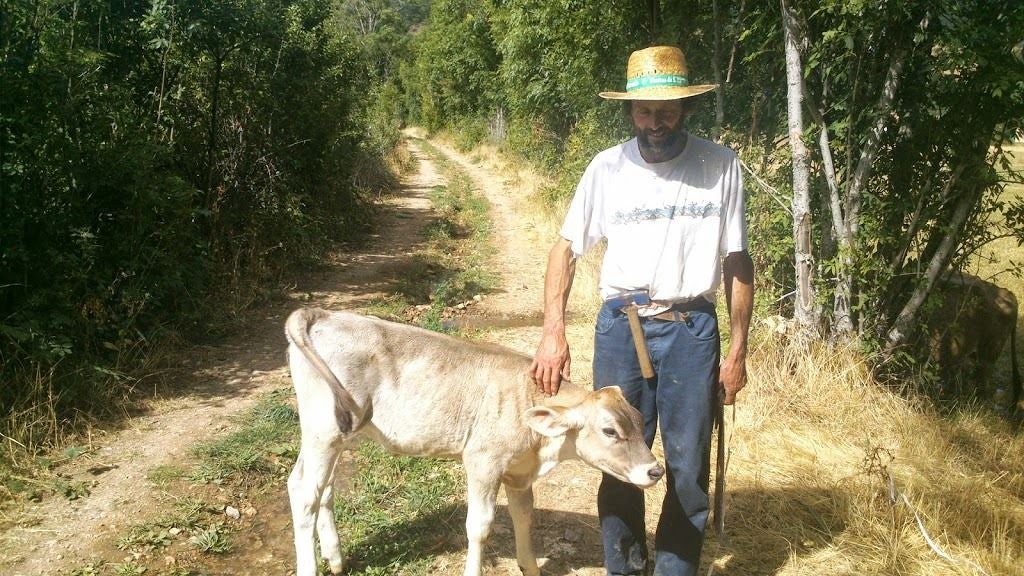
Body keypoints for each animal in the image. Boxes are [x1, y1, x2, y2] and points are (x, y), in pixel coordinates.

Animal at [284, 305, 663, 573]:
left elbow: (524, 516)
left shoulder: (518, 473)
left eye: (639, 421)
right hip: (322, 429)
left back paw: (335, 559)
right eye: (610, 430)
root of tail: (323, 313)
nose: (655, 470)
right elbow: (479, 527)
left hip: (339, 431)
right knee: (304, 490)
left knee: (324, 489)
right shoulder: (483, 460)